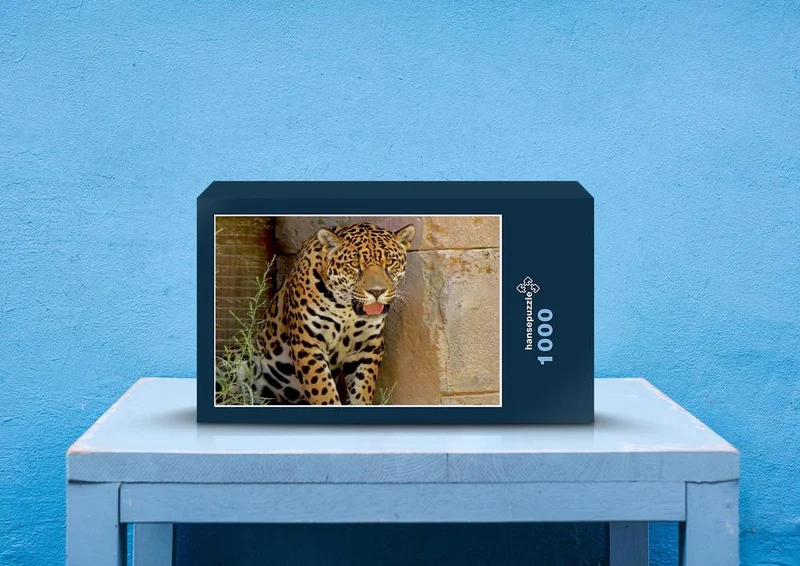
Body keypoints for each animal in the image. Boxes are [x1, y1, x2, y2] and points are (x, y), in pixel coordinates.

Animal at [238, 221, 415, 405]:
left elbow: (362, 390)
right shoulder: (308, 343)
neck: (346, 308)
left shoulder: (368, 346)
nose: (377, 291)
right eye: (354, 264)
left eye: (391, 262)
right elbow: (323, 391)